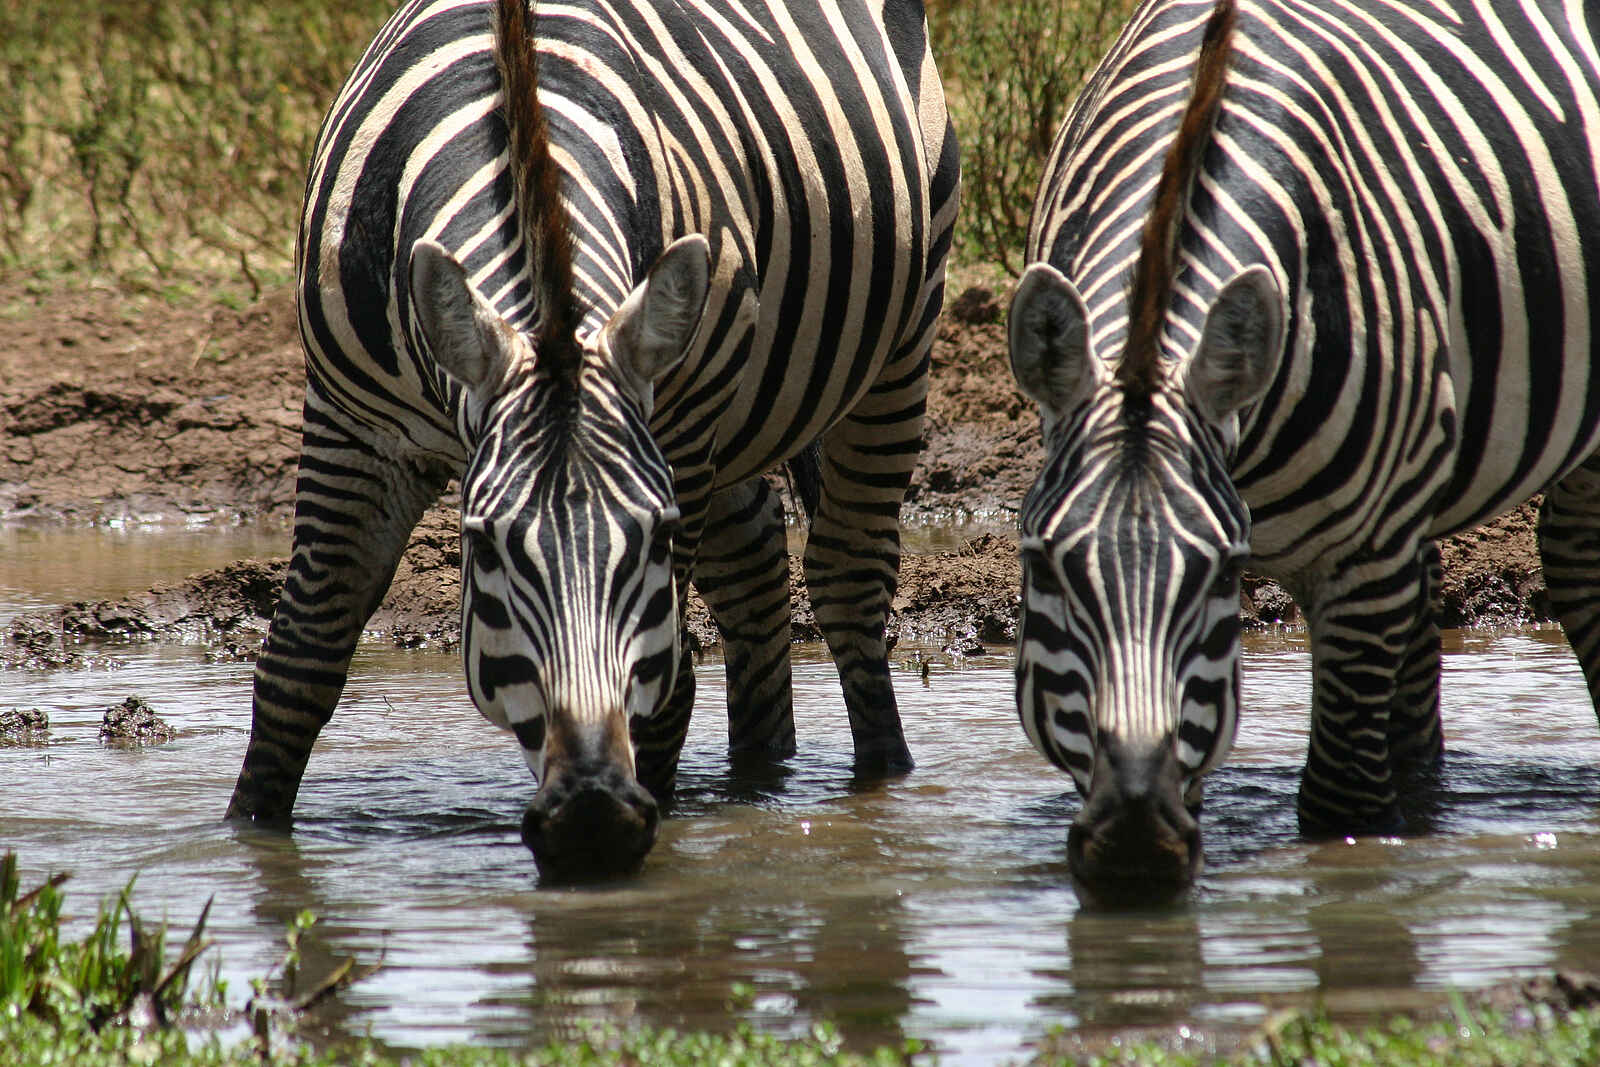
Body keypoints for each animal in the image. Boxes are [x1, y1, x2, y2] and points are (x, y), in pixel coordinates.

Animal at [226, 0, 959, 881]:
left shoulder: (681, 429)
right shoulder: (352, 424)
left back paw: (882, 785)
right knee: (754, 568)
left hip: (896, 337)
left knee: (847, 574)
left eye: (655, 538)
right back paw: (759, 773)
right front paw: (251, 841)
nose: (592, 819)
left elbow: (668, 685)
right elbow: (302, 654)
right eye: (485, 545)